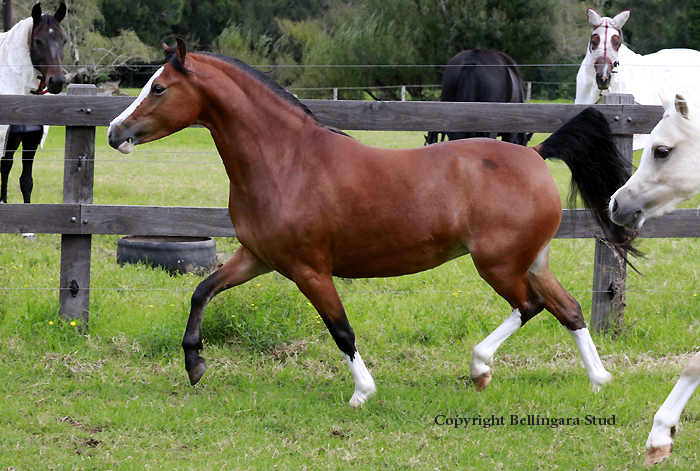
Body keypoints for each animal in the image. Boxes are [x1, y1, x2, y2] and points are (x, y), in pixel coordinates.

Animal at [0, 2, 66, 205]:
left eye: (64, 40)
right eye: (38, 41)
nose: (57, 81)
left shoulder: (29, 138)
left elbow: (26, 181)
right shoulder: (7, 136)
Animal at [108, 40, 636, 408]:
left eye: (158, 87)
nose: (115, 132)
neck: (285, 160)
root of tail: (535, 154)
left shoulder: (309, 270)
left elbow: (341, 330)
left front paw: (362, 391)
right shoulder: (257, 257)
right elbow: (202, 291)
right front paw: (195, 364)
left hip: (499, 265)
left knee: (530, 307)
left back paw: (480, 368)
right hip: (531, 261)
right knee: (568, 309)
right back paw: (599, 380)